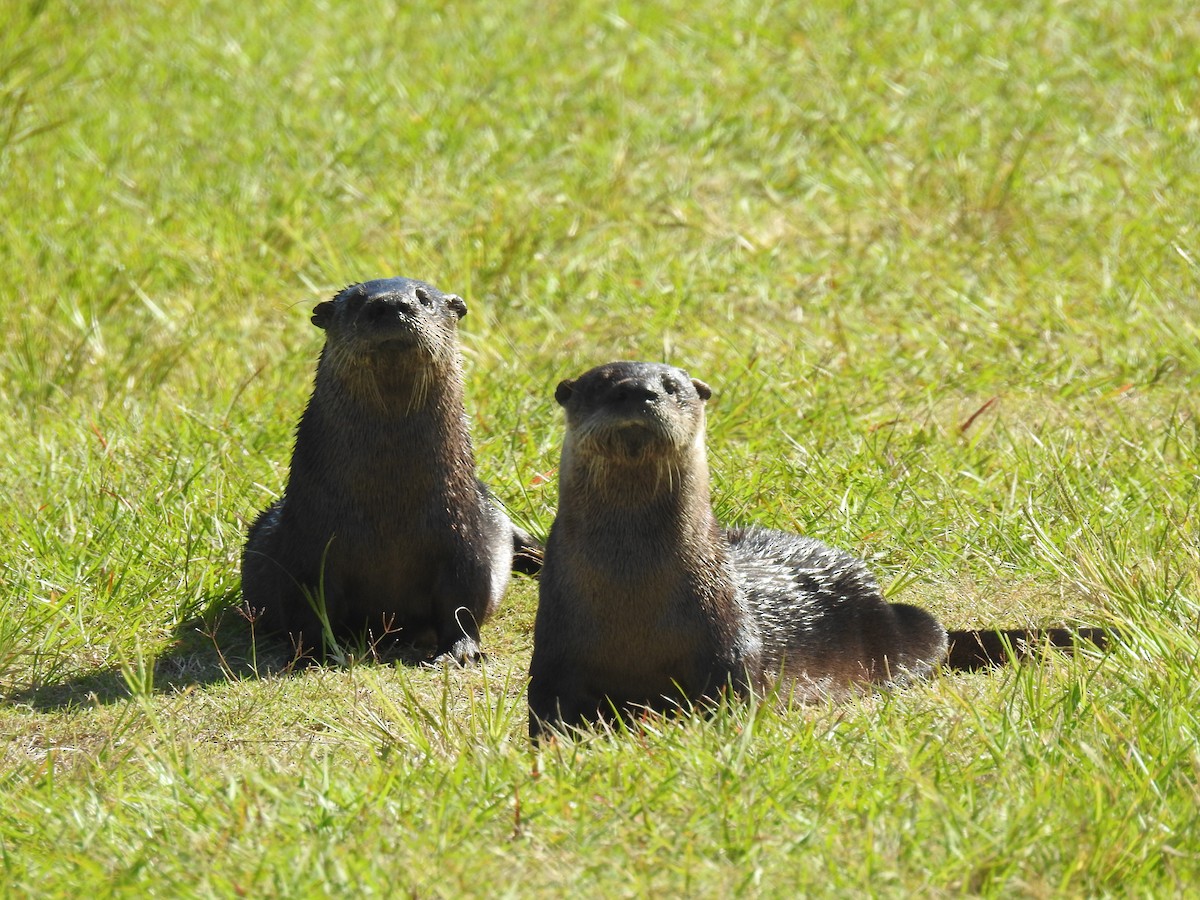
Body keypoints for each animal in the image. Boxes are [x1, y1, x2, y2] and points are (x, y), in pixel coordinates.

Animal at [242, 277, 540, 664]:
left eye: (424, 299)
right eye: (356, 301)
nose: (391, 304)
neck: (389, 509)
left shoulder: (463, 537)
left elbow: (462, 601)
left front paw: (460, 651)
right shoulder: (308, 547)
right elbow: (309, 605)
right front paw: (317, 653)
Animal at [527, 361, 1107, 737]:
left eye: (673, 387)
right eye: (603, 386)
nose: (639, 392)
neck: (632, 589)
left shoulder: (728, 643)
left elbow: (733, 694)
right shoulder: (555, 649)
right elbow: (545, 708)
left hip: (900, 631)